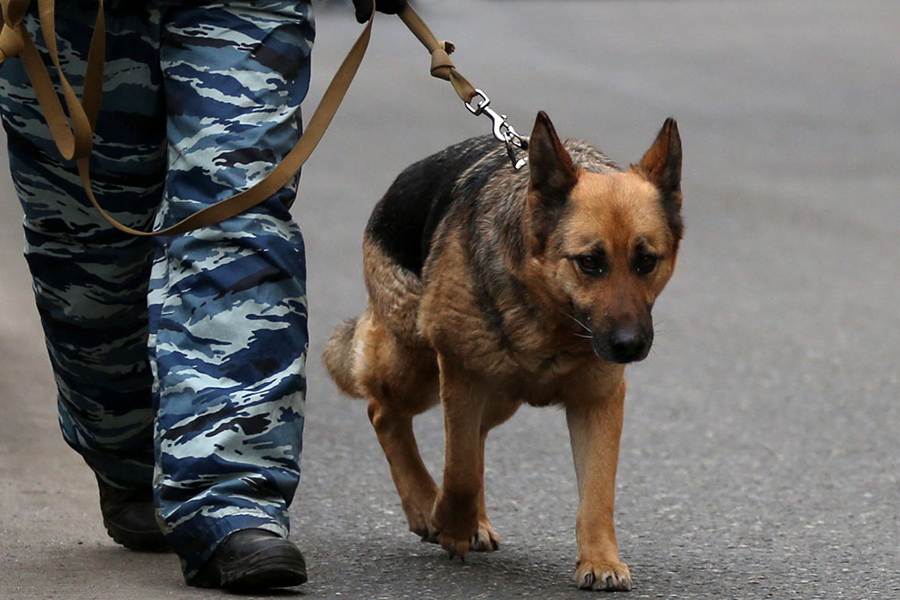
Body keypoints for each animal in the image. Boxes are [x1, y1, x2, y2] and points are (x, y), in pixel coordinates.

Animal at [324, 111, 684, 592]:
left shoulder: (599, 402)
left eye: (646, 261)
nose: (629, 346)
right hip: (419, 368)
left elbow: (597, 493)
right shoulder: (460, 373)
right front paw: (448, 520)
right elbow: (458, 470)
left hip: (498, 396)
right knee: (384, 413)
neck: (549, 318)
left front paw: (601, 559)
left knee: (472, 438)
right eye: (590, 263)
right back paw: (424, 504)